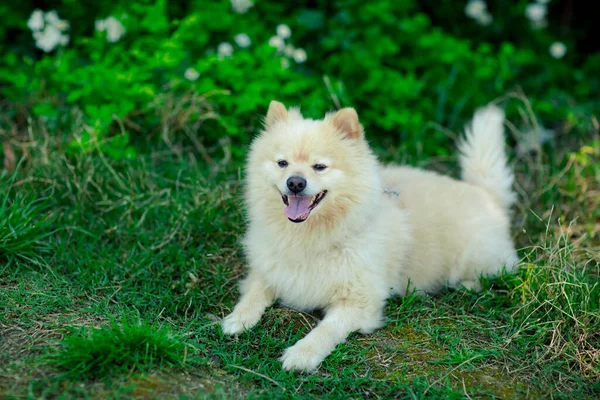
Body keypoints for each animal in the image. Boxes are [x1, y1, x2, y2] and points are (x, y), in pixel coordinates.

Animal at [223, 102, 516, 372]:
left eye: (320, 167)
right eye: (282, 163)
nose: (295, 182)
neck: (311, 236)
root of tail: (486, 195)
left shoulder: (360, 303)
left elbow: (326, 330)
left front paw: (302, 354)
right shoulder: (270, 270)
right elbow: (255, 293)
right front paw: (239, 318)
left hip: (474, 258)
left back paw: (466, 285)